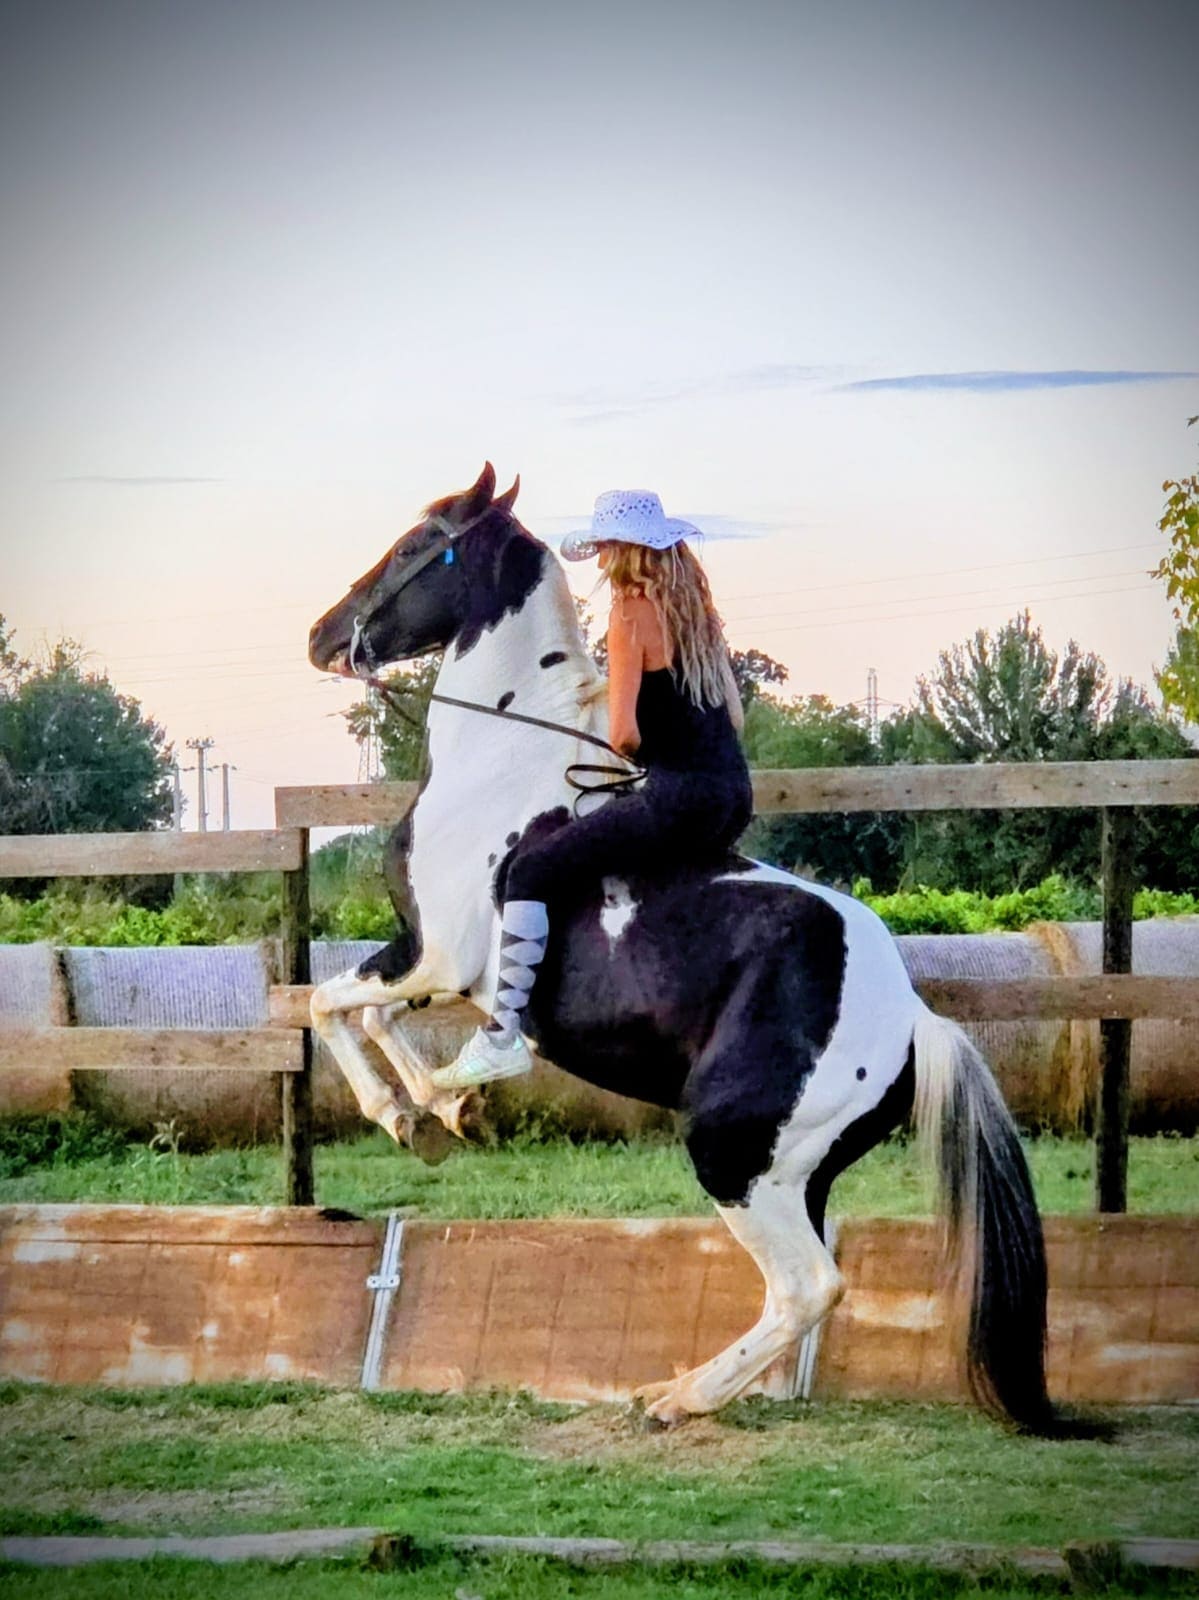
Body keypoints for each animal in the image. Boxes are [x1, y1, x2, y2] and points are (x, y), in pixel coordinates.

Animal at [308, 463, 1063, 1433]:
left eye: (412, 547)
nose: (324, 635)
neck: (499, 761)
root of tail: (913, 1023)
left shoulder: (438, 954)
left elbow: (325, 1002)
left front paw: (420, 1105)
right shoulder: (430, 966)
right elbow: (368, 1015)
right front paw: (438, 1112)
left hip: (731, 1150)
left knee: (809, 1287)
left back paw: (675, 1398)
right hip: (795, 1171)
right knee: (797, 1285)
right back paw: (689, 1388)